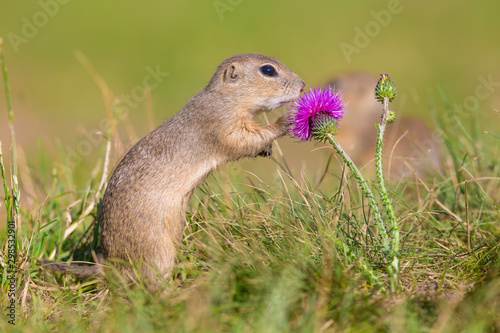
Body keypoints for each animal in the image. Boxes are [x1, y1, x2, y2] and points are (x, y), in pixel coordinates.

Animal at [43, 53, 306, 278]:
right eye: (268, 70)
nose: (303, 85)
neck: (224, 97)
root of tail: (109, 264)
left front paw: (267, 148)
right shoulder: (221, 123)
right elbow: (243, 140)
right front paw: (285, 120)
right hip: (156, 250)